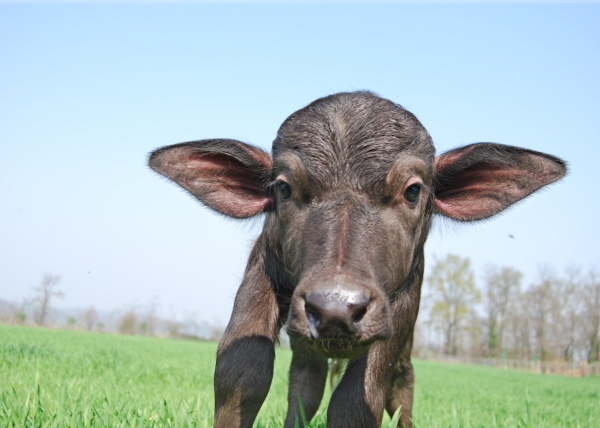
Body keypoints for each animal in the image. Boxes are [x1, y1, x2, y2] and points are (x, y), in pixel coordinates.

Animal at [148, 92, 564, 426]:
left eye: (413, 191)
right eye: (283, 187)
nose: (335, 308)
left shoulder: (399, 306)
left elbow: (358, 399)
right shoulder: (263, 273)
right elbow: (242, 372)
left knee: (402, 386)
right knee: (306, 381)